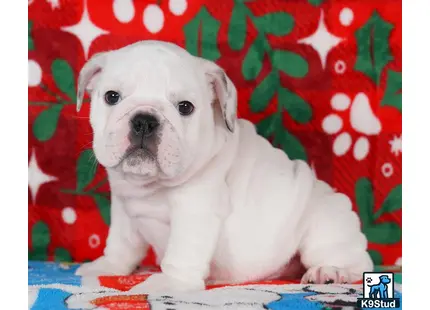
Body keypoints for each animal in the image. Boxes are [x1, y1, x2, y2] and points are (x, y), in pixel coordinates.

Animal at [74, 40, 372, 292]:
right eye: (112, 97)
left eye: (185, 107)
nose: (145, 120)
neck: (150, 185)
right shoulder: (124, 208)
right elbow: (121, 243)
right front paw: (108, 266)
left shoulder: (196, 208)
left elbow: (183, 250)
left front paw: (169, 283)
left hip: (323, 226)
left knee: (357, 263)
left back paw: (330, 270)